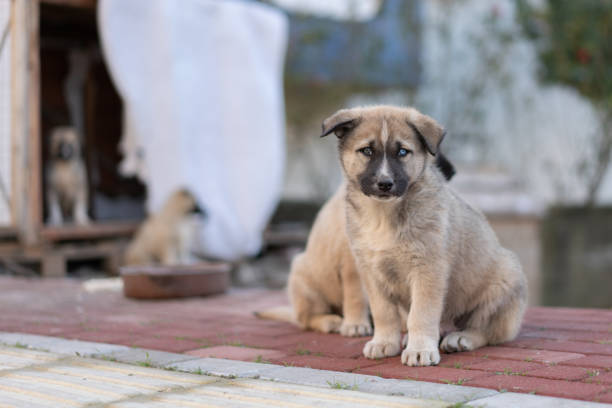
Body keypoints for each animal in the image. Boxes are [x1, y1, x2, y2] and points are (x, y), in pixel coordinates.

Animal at [322, 105, 528, 366]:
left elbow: (421, 314)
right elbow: (383, 313)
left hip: (505, 279)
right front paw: (384, 342)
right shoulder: (371, 272)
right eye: (367, 151)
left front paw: (420, 349)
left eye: (402, 151)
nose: (385, 183)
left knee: (486, 330)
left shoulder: (427, 269)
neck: (383, 215)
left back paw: (461, 339)